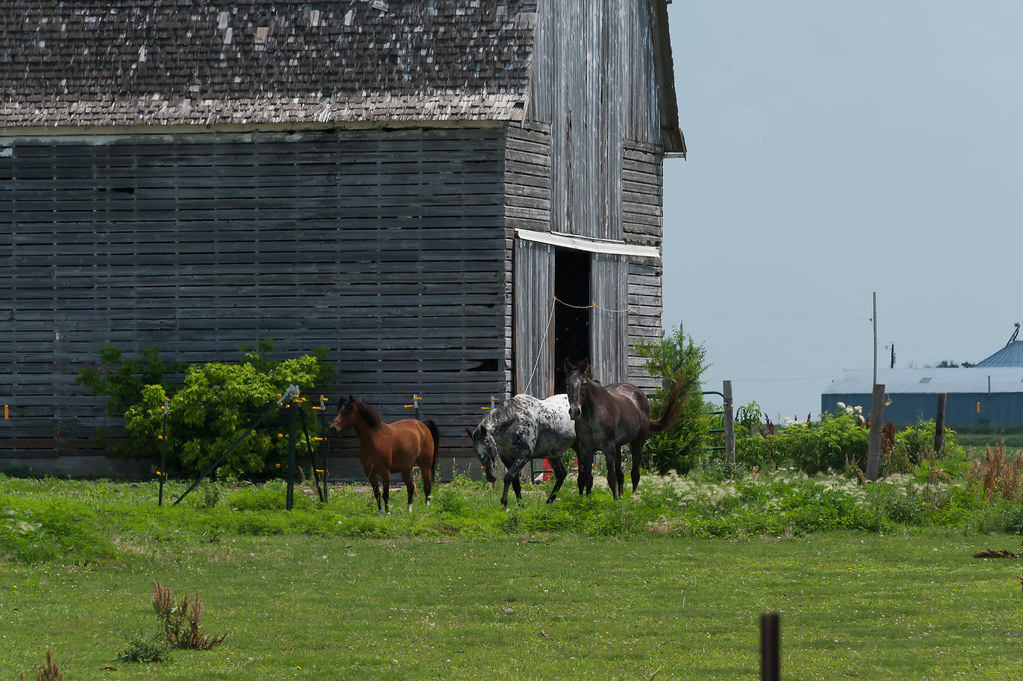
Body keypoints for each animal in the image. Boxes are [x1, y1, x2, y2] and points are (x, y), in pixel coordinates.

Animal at [564, 358, 690, 500]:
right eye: (567, 383)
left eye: (584, 384)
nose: (575, 411)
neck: (591, 416)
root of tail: (640, 394)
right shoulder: (586, 450)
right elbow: (588, 480)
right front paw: (588, 501)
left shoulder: (608, 448)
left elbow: (611, 479)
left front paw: (615, 501)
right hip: (618, 447)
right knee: (621, 475)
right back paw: (622, 497)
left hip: (637, 442)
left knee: (635, 474)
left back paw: (633, 498)